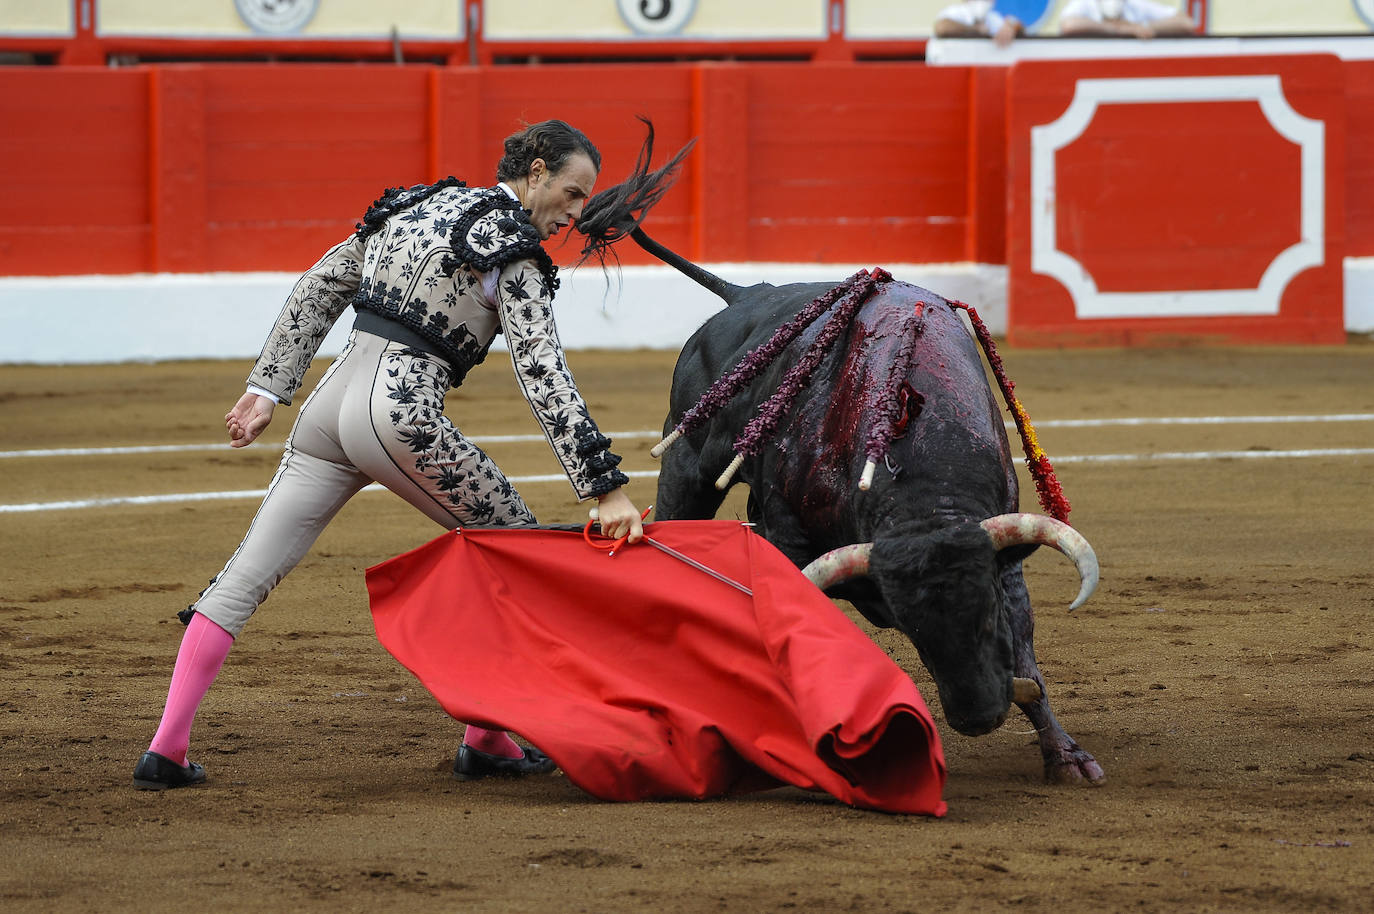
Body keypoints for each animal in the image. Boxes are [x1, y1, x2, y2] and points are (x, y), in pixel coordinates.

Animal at [643, 232, 1104, 780]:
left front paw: (1067, 757)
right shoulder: (792, 538)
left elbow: (1027, 652)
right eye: (913, 630)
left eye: (988, 616)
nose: (977, 717)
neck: (924, 500)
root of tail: (748, 294)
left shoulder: (1005, 550)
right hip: (686, 463)